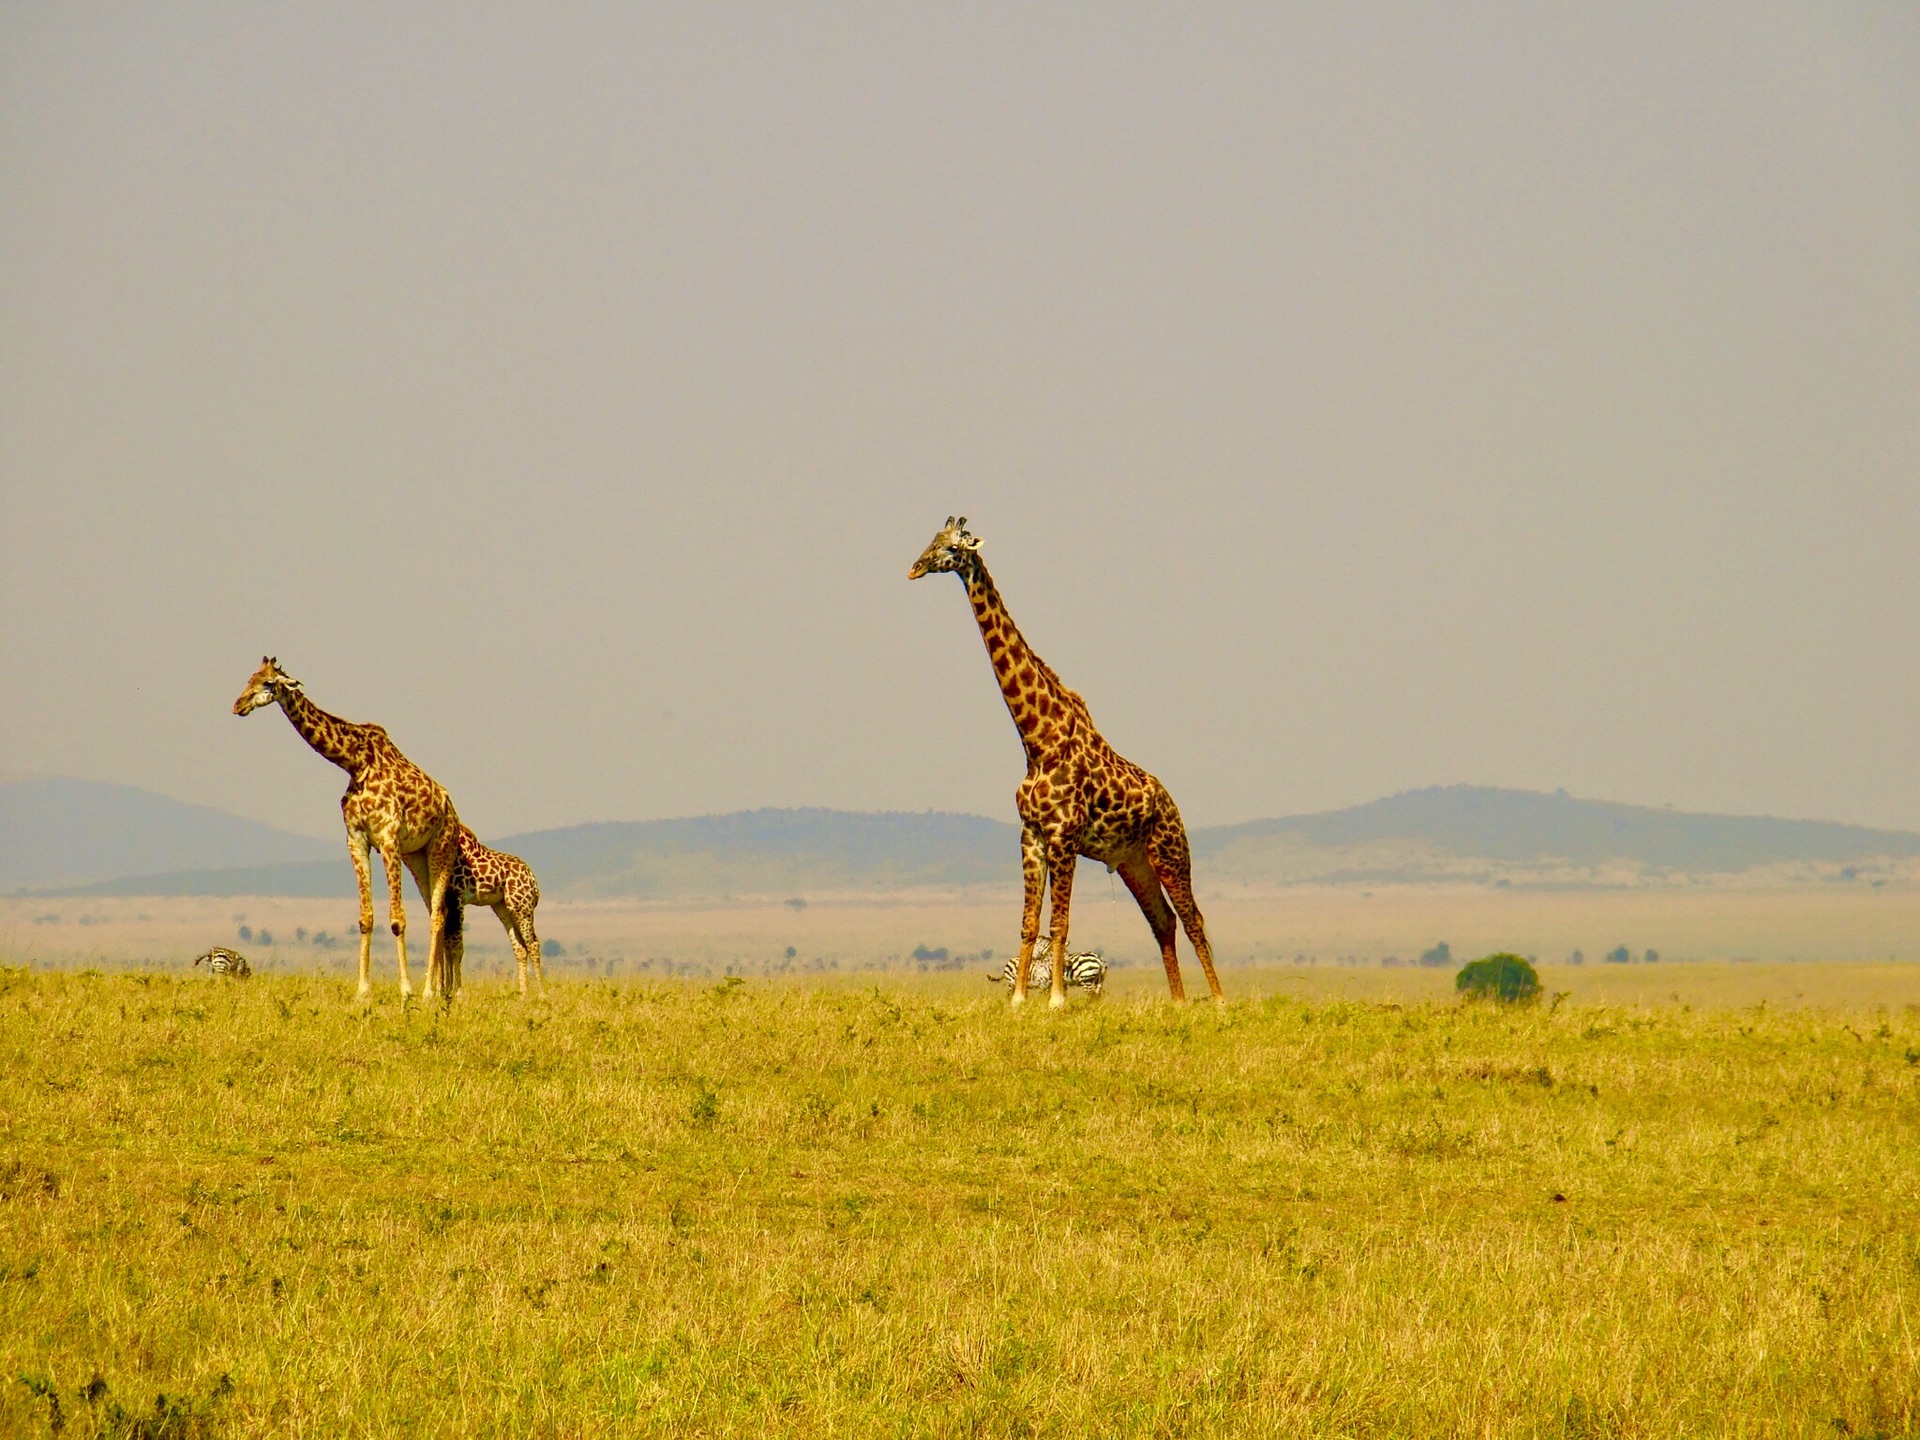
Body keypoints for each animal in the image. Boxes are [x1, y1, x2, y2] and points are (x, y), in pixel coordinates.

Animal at [234, 656, 462, 1006]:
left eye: (268, 683)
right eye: (249, 678)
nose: (238, 705)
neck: (354, 763)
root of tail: (450, 808)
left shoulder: (388, 839)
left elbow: (397, 919)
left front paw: (406, 991)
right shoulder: (356, 839)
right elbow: (365, 919)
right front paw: (362, 991)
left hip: (441, 847)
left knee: (438, 913)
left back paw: (427, 992)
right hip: (417, 857)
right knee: (432, 910)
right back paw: (437, 989)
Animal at [441, 829, 541, 998]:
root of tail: (532, 879)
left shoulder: (457, 898)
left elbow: (456, 947)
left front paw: (456, 993)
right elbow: (447, 947)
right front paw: (447, 991)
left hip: (521, 906)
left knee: (533, 943)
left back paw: (542, 993)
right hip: (504, 907)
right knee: (520, 947)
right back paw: (523, 994)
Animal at [906, 522, 1221, 1013]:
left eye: (952, 548)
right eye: (932, 539)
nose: (915, 567)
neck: (1038, 741)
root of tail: (1171, 803)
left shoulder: (1064, 836)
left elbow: (1059, 923)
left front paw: (1055, 999)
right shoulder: (1031, 836)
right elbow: (1028, 923)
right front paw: (1019, 1000)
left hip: (1170, 850)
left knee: (1193, 919)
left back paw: (1220, 1000)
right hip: (1133, 862)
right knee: (1163, 921)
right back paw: (1178, 1002)